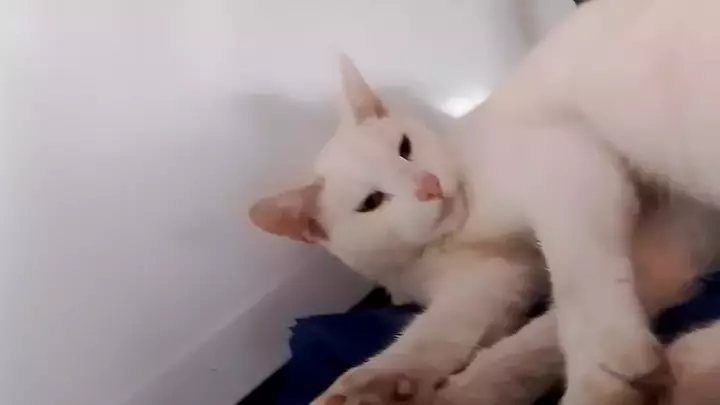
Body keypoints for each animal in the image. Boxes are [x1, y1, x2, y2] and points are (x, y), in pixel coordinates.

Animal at [251, 0, 720, 403]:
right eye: (371, 202)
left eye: (404, 148)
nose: (429, 186)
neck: (457, 231)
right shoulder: (488, 281)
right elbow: (434, 336)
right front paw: (376, 384)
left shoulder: (568, 166)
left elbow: (577, 283)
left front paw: (604, 375)